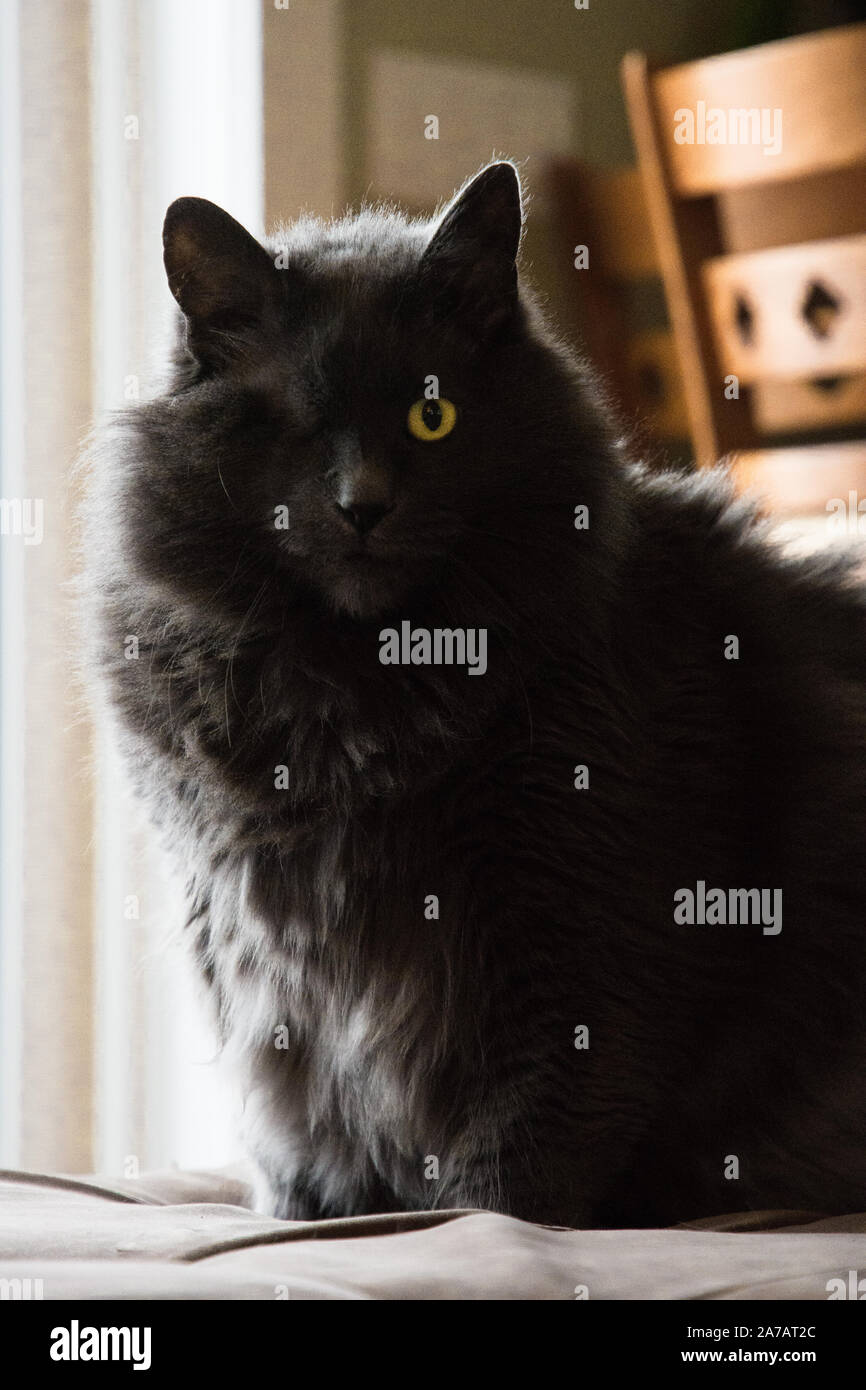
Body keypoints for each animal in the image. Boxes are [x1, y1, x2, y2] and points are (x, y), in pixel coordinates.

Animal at [84, 165, 866, 1228]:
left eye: (433, 417)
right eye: (295, 423)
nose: (363, 506)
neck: (357, 699)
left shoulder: (579, 938)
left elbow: (515, 1175)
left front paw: (479, 1227)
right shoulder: (265, 974)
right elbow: (299, 1147)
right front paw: (313, 1221)